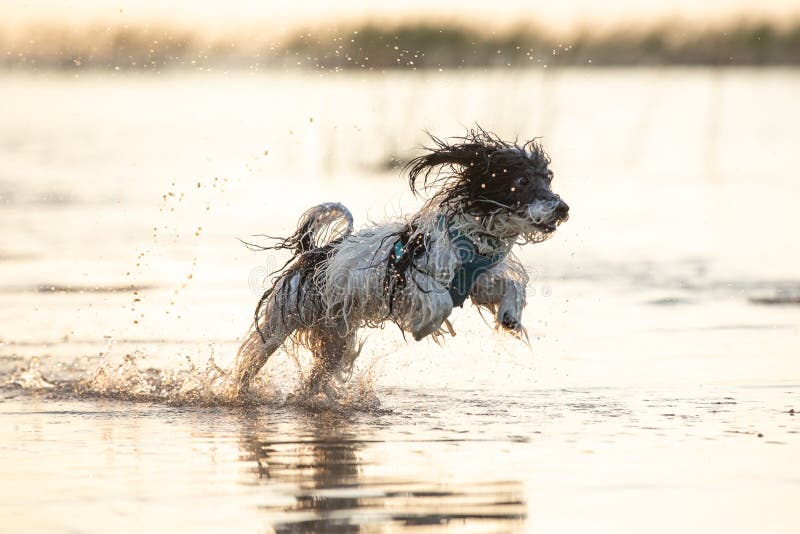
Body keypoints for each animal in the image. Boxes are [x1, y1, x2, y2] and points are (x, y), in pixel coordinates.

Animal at [230, 129, 568, 398]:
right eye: (522, 180)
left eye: (548, 178)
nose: (563, 208)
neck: (470, 237)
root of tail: (314, 254)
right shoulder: (410, 277)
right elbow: (441, 300)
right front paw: (425, 326)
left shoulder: (479, 278)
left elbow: (511, 286)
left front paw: (511, 315)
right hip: (281, 322)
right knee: (252, 358)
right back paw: (238, 391)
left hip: (335, 338)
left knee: (317, 376)